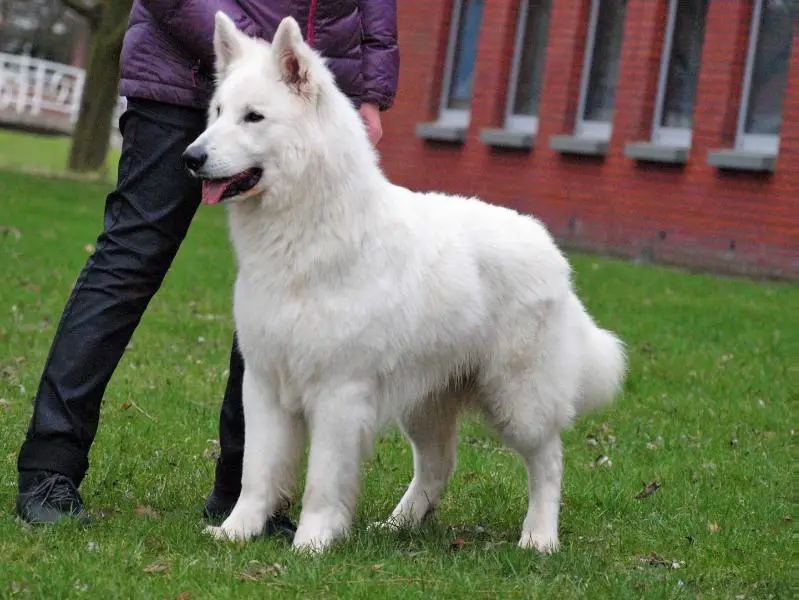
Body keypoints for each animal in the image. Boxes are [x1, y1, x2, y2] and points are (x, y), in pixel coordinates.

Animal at [184, 14, 628, 556]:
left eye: (253, 117)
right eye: (218, 112)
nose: (190, 157)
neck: (305, 233)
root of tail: (551, 249)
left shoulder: (339, 393)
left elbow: (322, 481)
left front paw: (312, 544)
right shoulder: (264, 384)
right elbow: (257, 471)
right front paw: (237, 532)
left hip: (519, 400)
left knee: (548, 460)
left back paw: (539, 538)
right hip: (426, 402)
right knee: (438, 467)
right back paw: (398, 525)